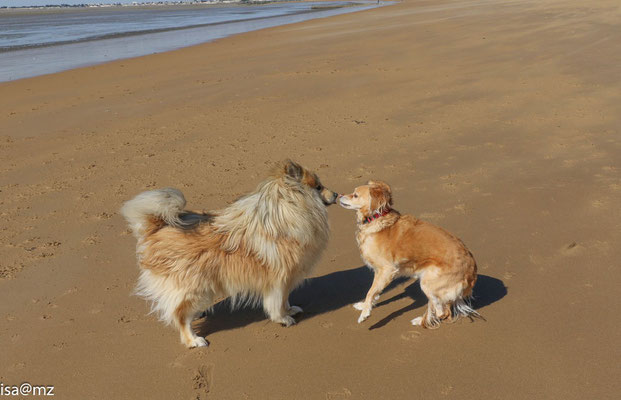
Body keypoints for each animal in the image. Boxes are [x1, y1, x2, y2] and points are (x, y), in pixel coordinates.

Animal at [340, 181, 480, 328]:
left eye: (355, 195)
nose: (340, 195)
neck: (376, 218)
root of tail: (472, 272)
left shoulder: (387, 270)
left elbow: (370, 292)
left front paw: (365, 313)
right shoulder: (378, 272)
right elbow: (374, 292)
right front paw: (364, 306)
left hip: (428, 283)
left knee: (442, 312)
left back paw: (420, 320)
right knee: (444, 310)